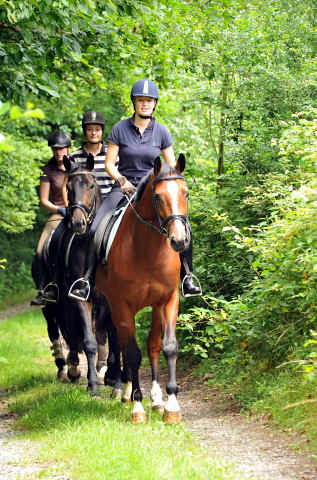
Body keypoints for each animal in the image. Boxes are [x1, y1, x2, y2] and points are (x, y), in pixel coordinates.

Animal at [95, 155, 189, 424]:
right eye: (157, 197)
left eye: (186, 193)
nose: (180, 241)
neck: (147, 249)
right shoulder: (122, 304)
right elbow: (133, 353)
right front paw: (138, 406)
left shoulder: (167, 300)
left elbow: (165, 347)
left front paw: (169, 404)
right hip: (108, 304)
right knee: (117, 343)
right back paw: (124, 391)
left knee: (143, 345)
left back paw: (149, 398)